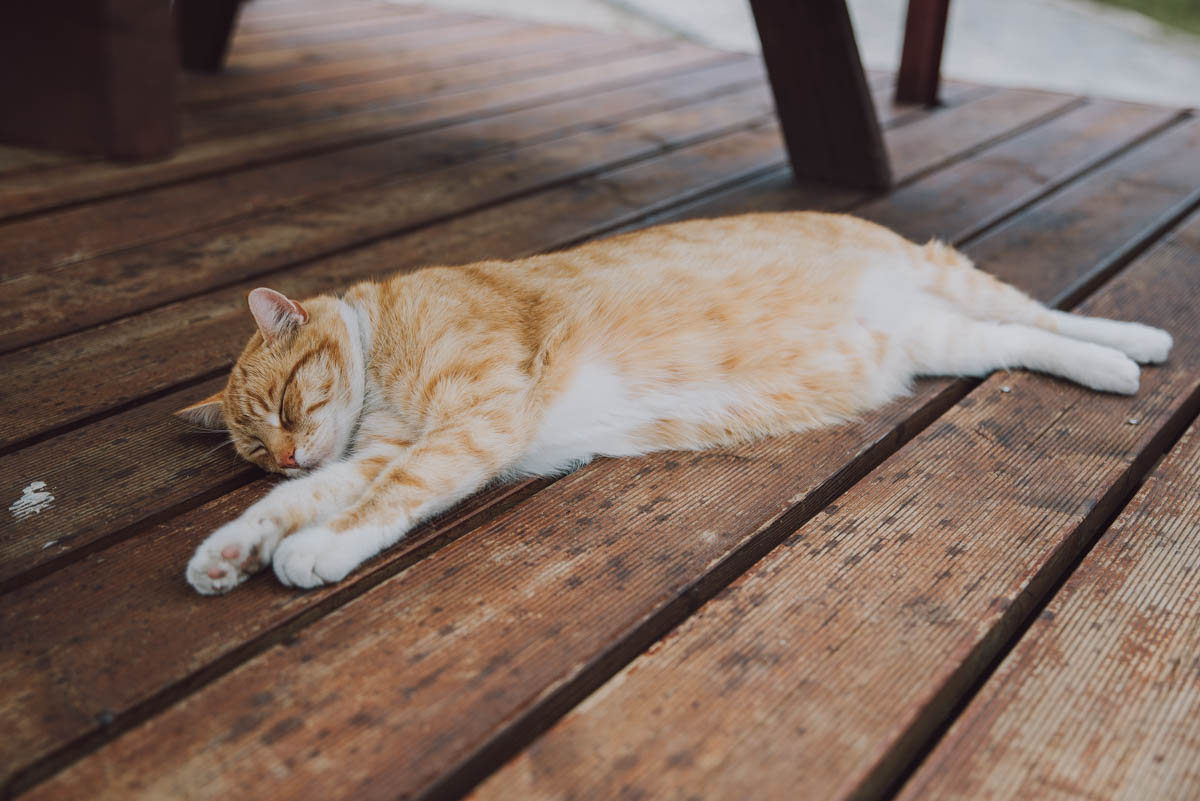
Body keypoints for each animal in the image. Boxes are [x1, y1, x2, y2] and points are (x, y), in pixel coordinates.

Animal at [178, 212, 1172, 595]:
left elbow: (384, 497)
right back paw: (1112, 369)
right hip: (939, 338)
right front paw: (231, 550)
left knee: (1041, 311)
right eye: (257, 446)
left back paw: (1141, 341)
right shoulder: (380, 448)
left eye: (286, 404)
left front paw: (314, 549)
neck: (380, 359)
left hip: (947, 276)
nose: (289, 451)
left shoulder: (472, 419)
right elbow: (304, 500)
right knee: (1020, 341)